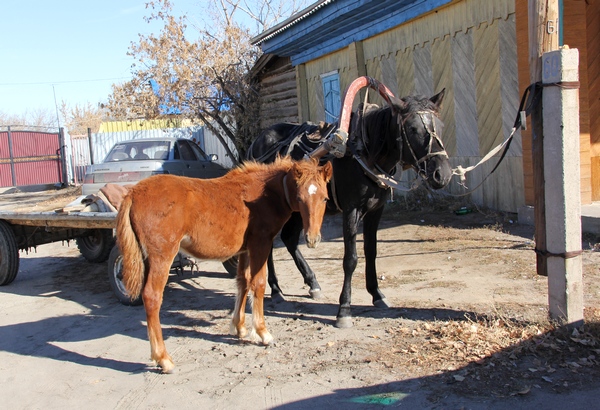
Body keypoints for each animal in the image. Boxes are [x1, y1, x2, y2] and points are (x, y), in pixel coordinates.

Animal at [246, 89, 452, 326]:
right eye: (412, 128)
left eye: (440, 125)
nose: (442, 174)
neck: (364, 152)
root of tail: (255, 143)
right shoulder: (351, 210)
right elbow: (350, 259)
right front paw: (344, 309)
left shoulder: (376, 210)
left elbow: (371, 251)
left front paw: (376, 294)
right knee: (269, 244)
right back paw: (276, 290)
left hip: (297, 210)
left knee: (289, 239)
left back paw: (312, 282)